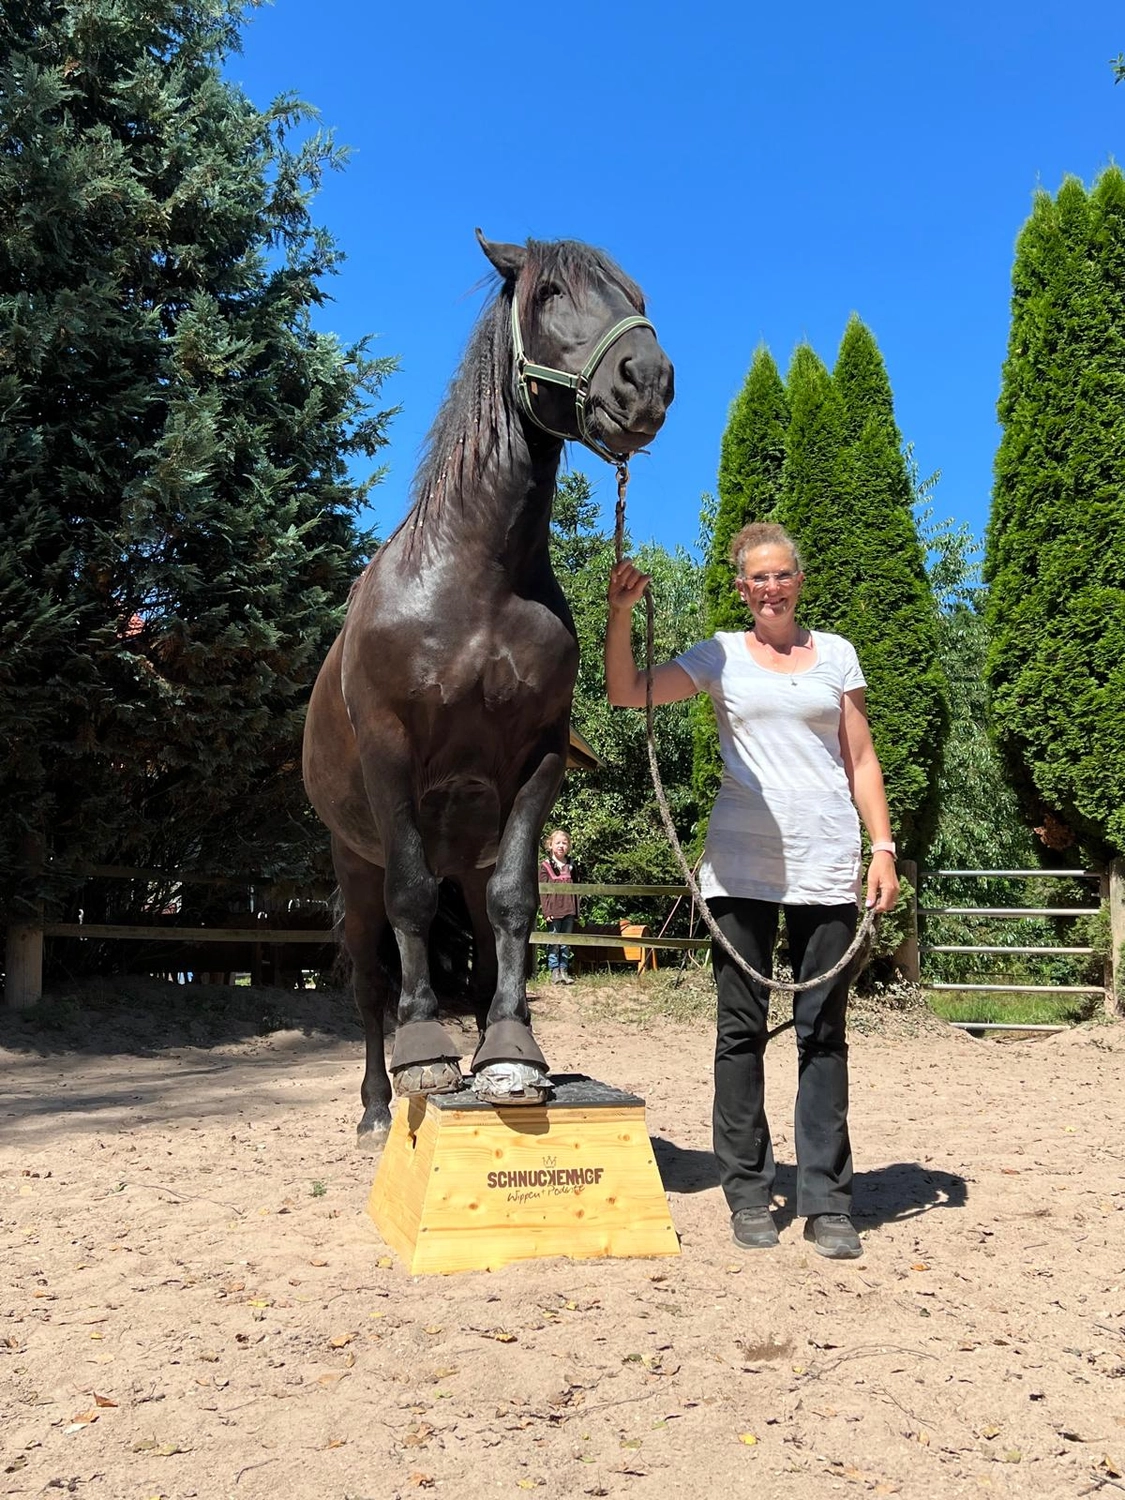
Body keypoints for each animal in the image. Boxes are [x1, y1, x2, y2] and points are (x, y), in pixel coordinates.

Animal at [302, 230, 674, 1150]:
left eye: (634, 296)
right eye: (546, 296)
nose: (646, 379)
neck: (474, 583)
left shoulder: (535, 763)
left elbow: (516, 904)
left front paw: (511, 1057)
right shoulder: (390, 757)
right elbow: (407, 907)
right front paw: (426, 1058)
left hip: (463, 860)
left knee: (475, 948)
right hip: (353, 860)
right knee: (371, 980)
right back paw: (377, 1107)